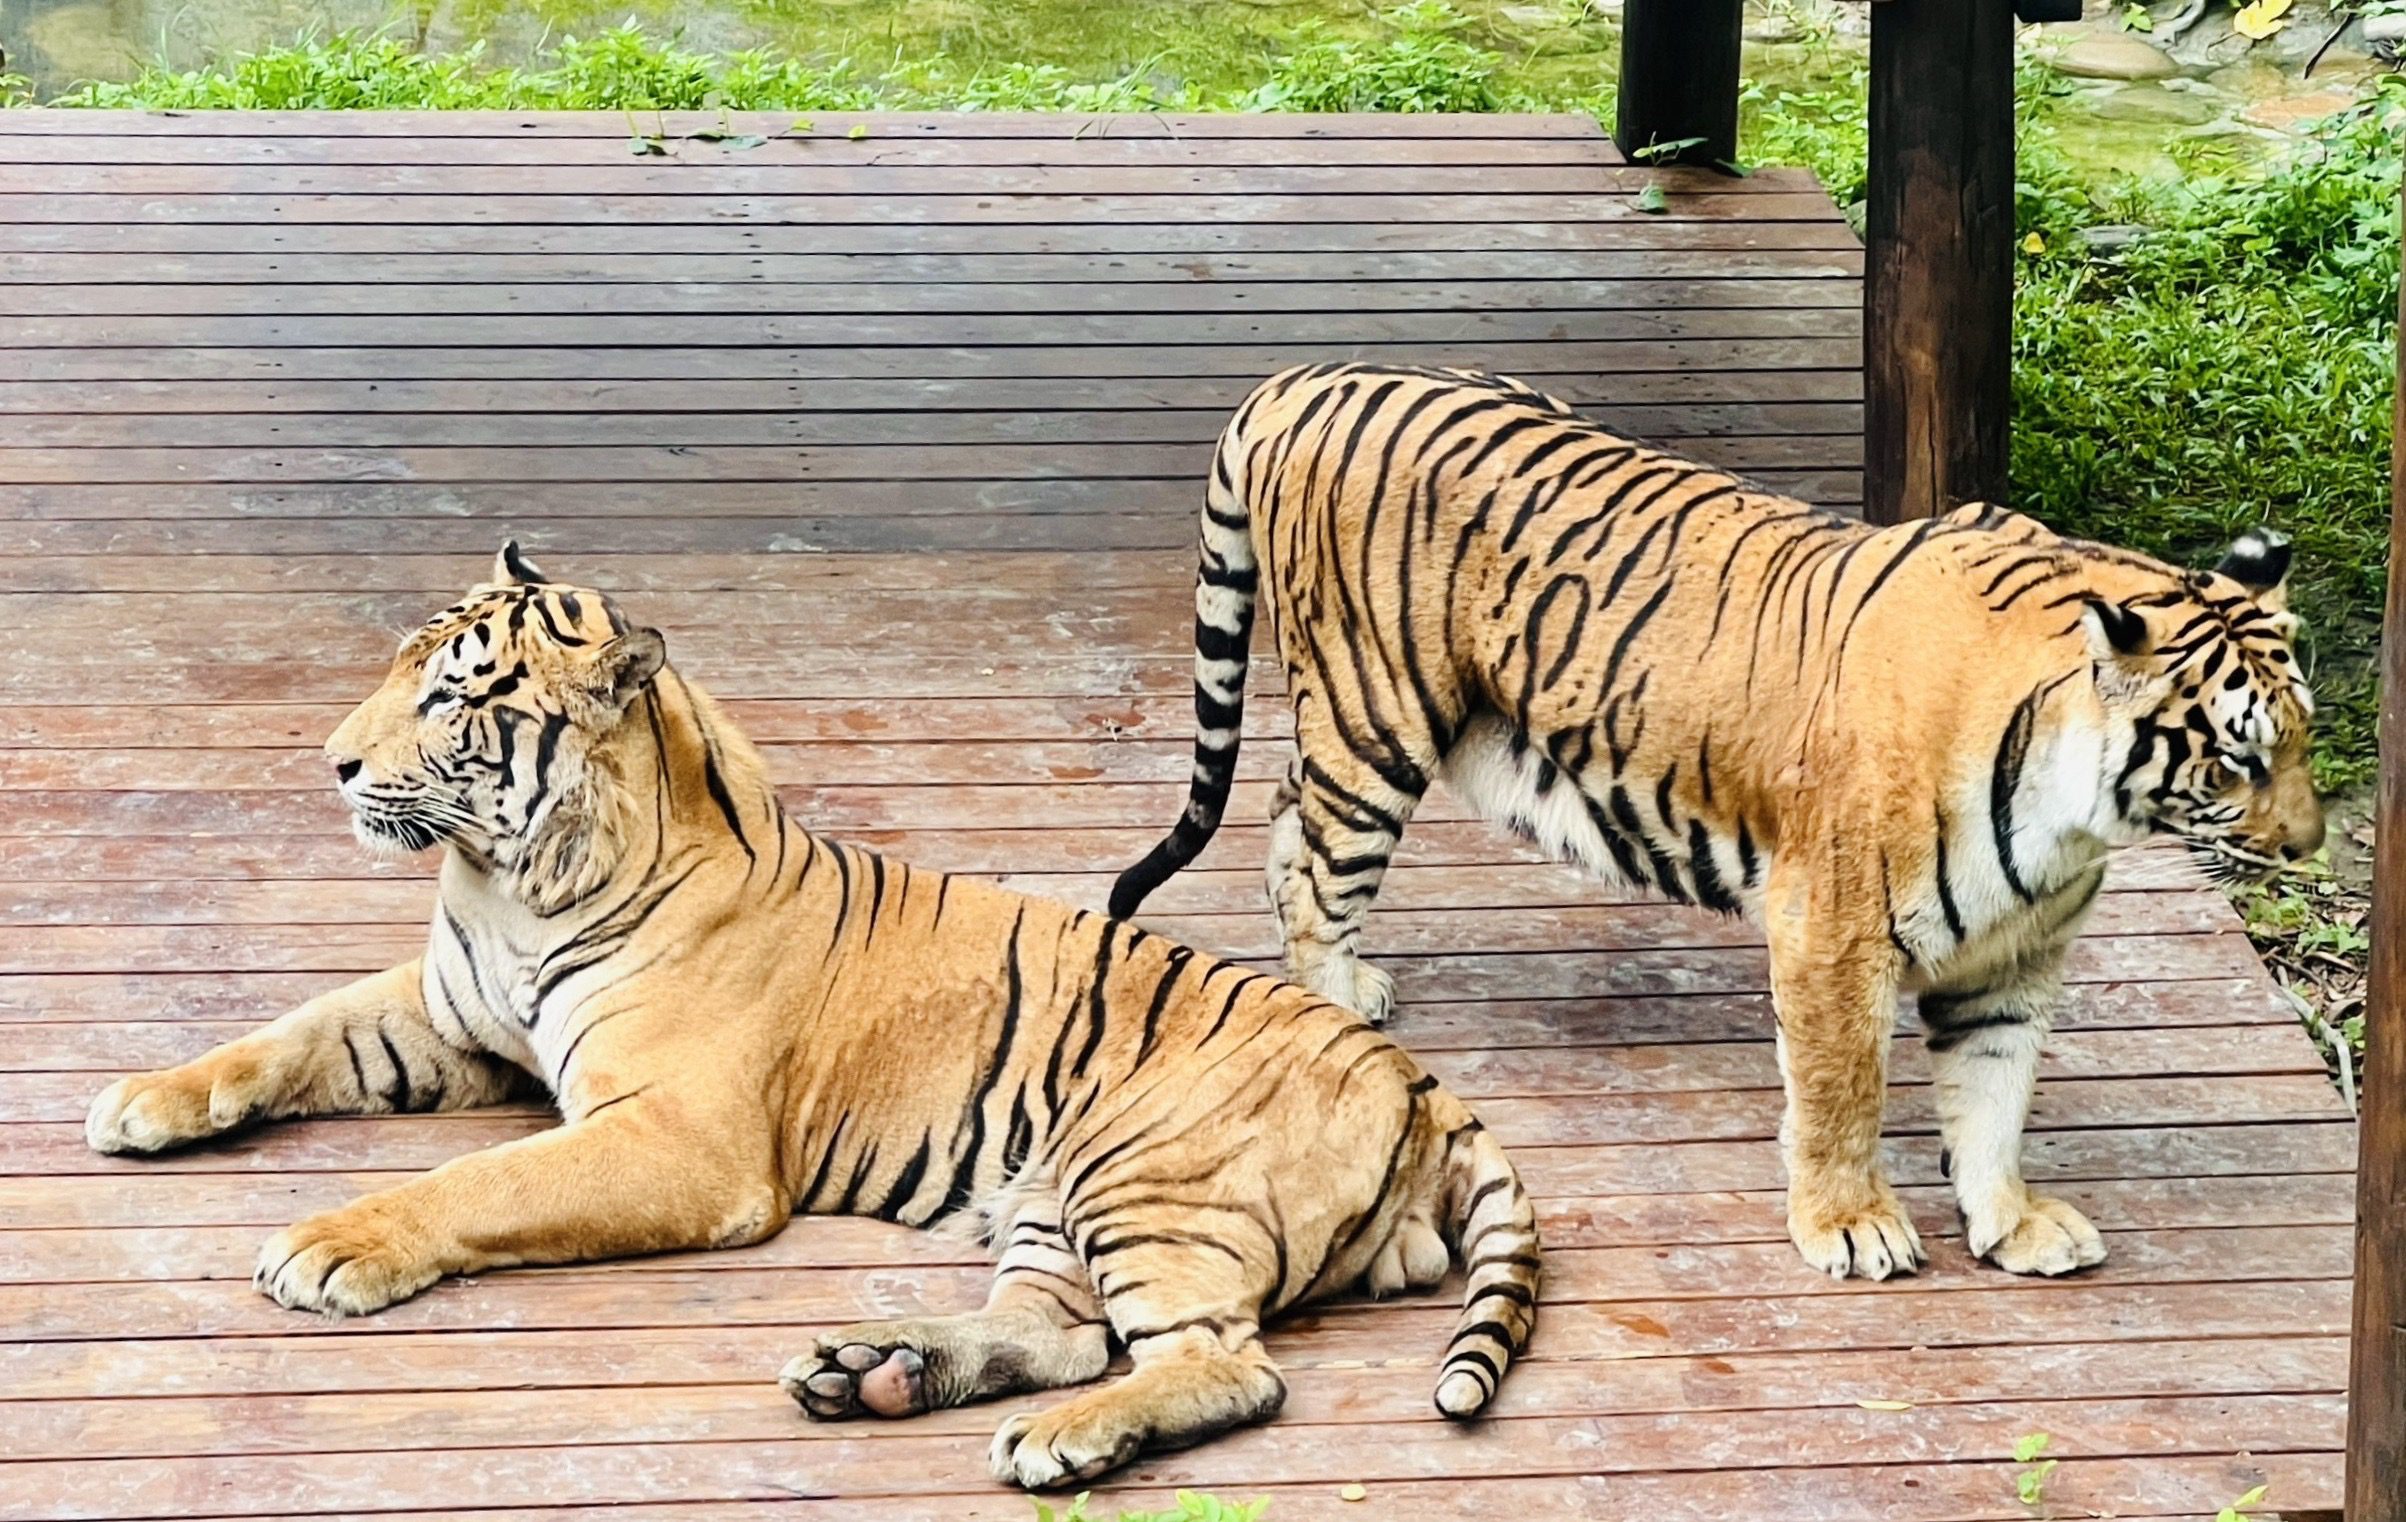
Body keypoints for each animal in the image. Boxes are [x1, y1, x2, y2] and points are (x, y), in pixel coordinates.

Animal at [83, 543, 1540, 1489]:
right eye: (400, 665)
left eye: (450, 692)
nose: (331, 761)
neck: (510, 882)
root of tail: (1419, 1080)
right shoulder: (448, 1011)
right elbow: (285, 1031)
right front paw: (141, 1098)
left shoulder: (679, 1136)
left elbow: (483, 1181)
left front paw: (331, 1244)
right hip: (1050, 1194)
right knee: (1056, 1330)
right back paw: (875, 1367)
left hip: (1146, 1176)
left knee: (1225, 1364)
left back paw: (1055, 1442)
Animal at [1110, 363, 2322, 1285]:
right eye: (2241, 757)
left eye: (2307, 738)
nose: (2307, 847)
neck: (2075, 817)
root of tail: (1312, 378)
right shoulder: (1832, 926)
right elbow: (1842, 1092)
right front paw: (1852, 1226)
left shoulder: (2011, 958)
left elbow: (1996, 1096)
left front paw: (2011, 1220)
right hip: (1376, 721)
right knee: (1320, 870)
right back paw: (1336, 1005)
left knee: (1286, 825)